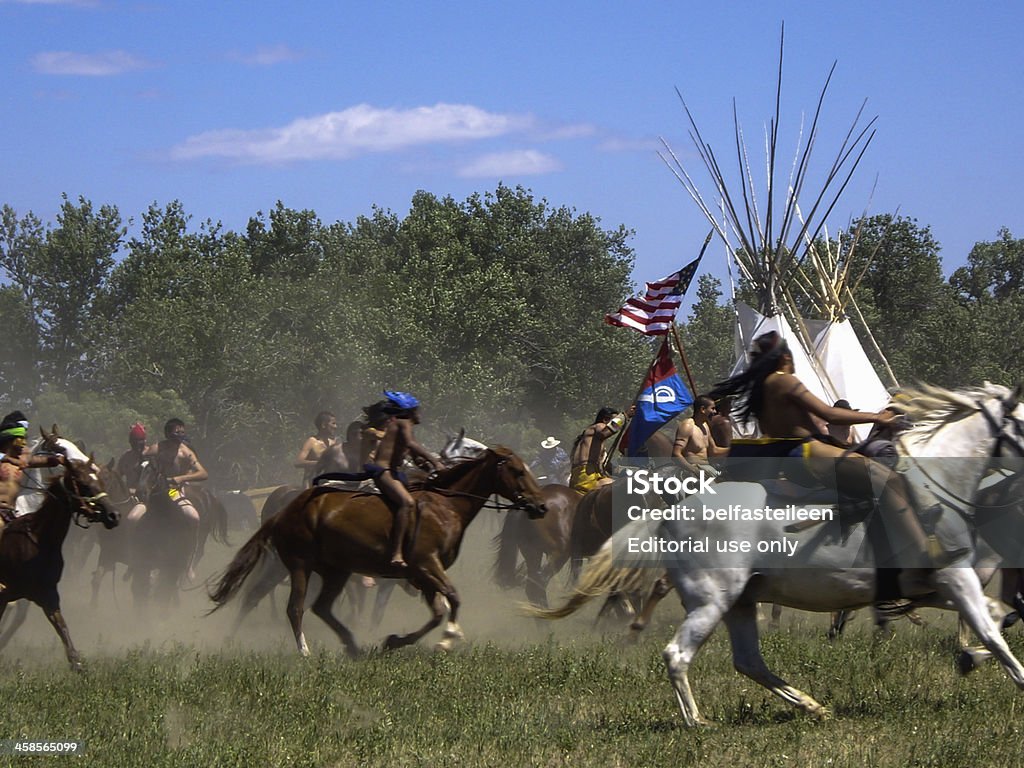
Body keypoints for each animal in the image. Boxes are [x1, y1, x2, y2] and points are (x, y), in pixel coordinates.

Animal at [0, 460, 119, 671]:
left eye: (101, 481)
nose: (114, 515)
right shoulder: (5, 593)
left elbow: (61, 626)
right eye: (84, 484)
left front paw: (77, 663)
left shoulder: (47, 594)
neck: (39, 541)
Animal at [209, 444, 552, 655]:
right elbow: (452, 599)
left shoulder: (421, 575)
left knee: (319, 607)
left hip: (335, 571)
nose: (541, 506)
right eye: (518, 471)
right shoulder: (427, 565)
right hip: (299, 566)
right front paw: (446, 640)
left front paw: (395, 640)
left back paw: (352, 645)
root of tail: (284, 511)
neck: (445, 505)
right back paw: (304, 651)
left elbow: (437, 611)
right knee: (293, 607)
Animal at [528, 385, 1024, 729]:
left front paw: (970, 657)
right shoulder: (956, 577)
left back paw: (811, 705)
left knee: (748, 660)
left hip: (740, 602)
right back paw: (697, 721)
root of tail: (672, 512)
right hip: (712, 601)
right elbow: (994, 632)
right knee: (677, 654)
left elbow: (998, 617)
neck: (936, 484)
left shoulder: (939, 585)